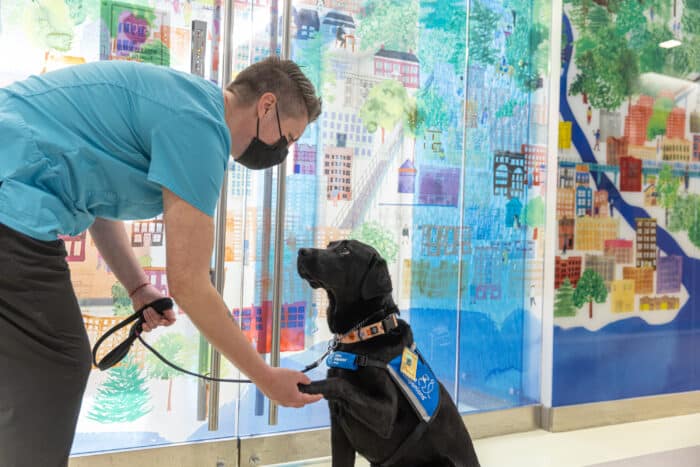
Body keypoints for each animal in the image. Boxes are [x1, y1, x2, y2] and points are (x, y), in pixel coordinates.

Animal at [296, 241, 482, 467]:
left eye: (345, 250)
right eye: (330, 245)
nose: (301, 251)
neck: (366, 332)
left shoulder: (385, 414)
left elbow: (339, 383)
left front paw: (305, 386)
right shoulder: (339, 433)